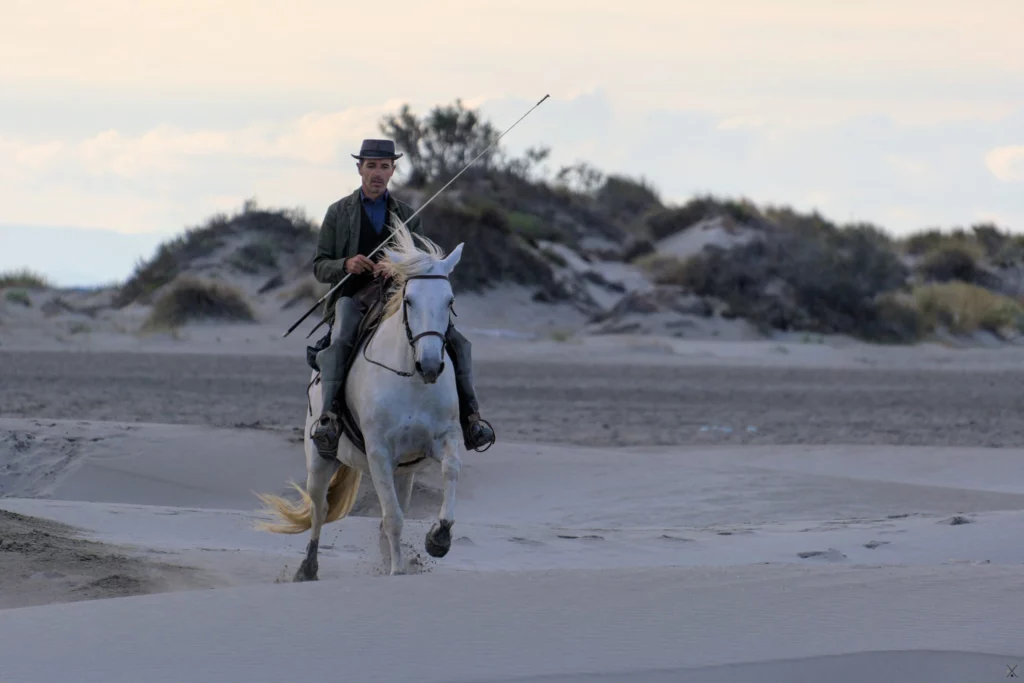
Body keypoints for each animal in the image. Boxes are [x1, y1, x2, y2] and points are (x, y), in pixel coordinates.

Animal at [255, 217, 465, 579]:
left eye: (449, 301)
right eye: (409, 300)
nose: (430, 365)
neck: (411, 380)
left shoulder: (442, 438)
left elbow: (449, 471)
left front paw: (438, 539)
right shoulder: (379, 451)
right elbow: (392, 517)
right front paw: (396, 572)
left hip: (404, 473)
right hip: (320, 459)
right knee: (320, 508)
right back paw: (307, 568)